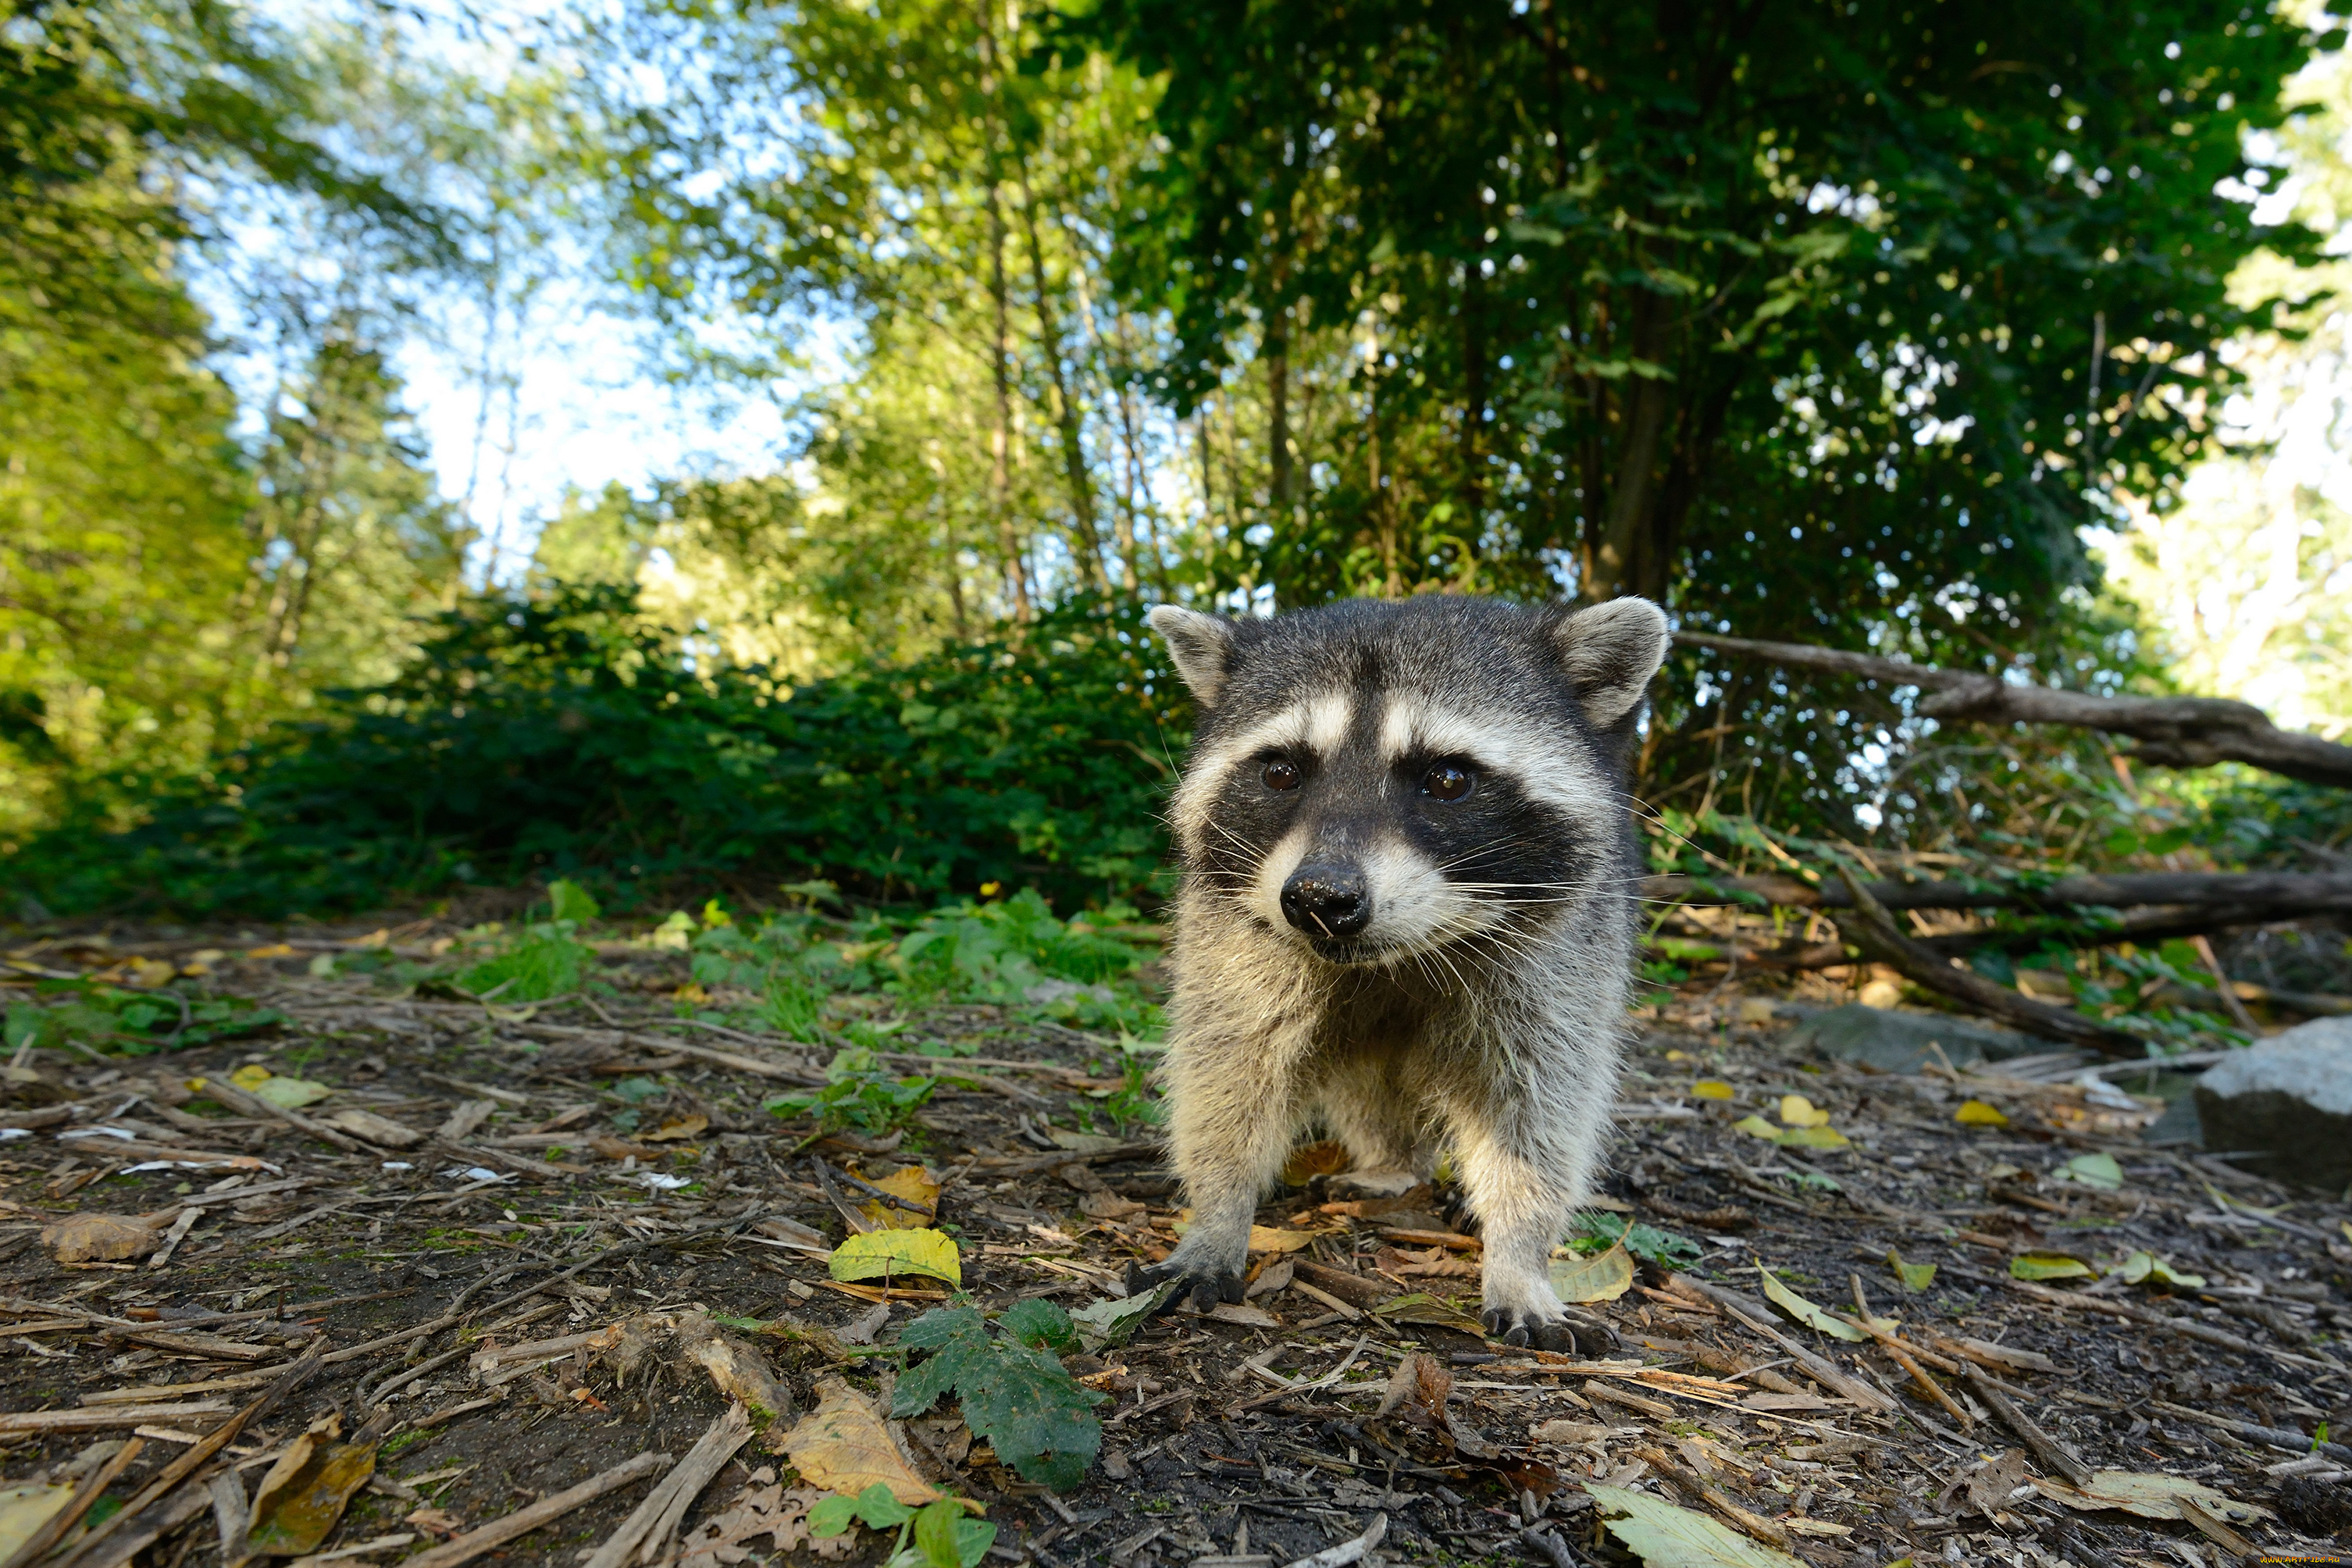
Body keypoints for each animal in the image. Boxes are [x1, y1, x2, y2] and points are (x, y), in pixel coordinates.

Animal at [1124, 595, 1665, 1354]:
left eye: (1447, 779)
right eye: (1282, 771)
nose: (1319, 899)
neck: (1399, 954)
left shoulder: (1564, 952)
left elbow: (1540, 1102)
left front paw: (1520, 1251)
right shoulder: (1232, 938)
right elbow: (1229, 1068)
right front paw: (1217, 1213)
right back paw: (1390, 1161)